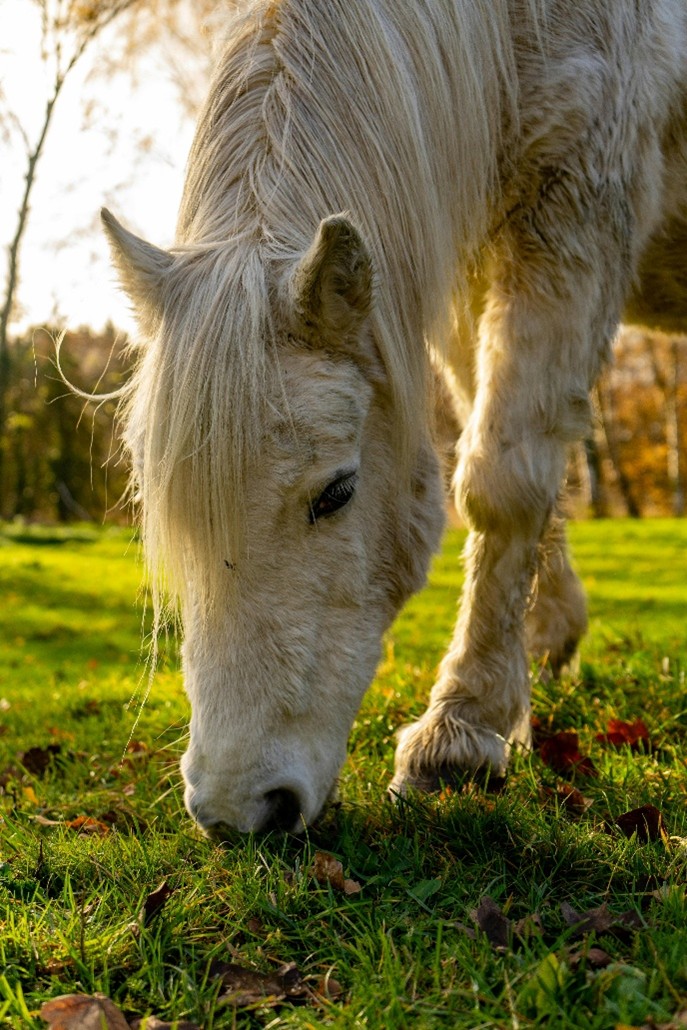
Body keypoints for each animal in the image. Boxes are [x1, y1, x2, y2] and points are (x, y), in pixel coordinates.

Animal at [102, 0, 687, 834]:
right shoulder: (465, 272)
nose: (237, 810)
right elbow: (508, 441)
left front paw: (461, 730)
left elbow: (502, 481)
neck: (517, 28)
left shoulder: (578, 218)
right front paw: (541, 643)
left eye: (337, 492)